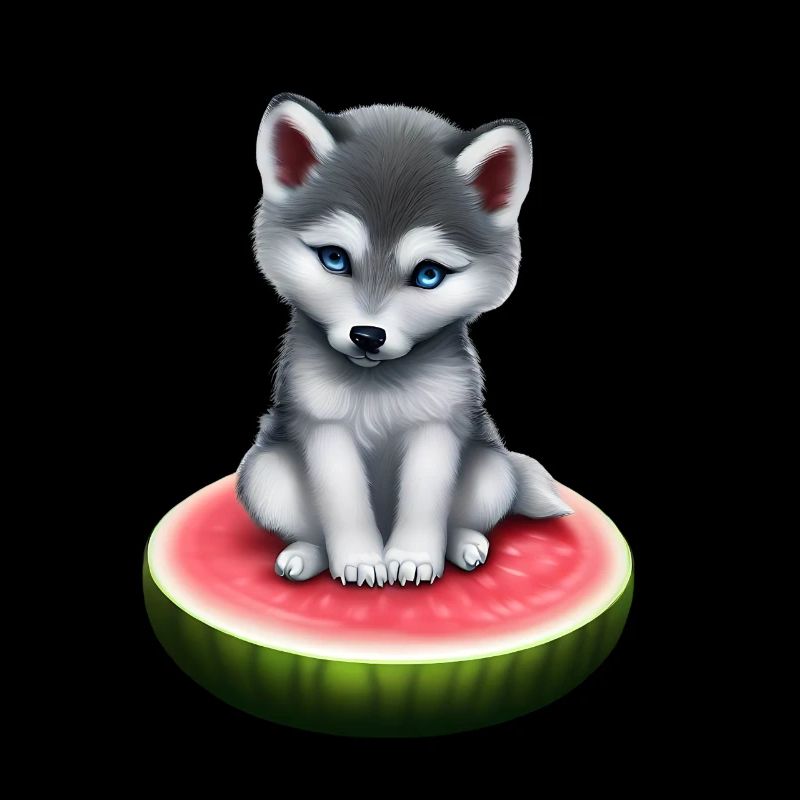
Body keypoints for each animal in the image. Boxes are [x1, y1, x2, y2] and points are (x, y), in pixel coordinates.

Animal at [237, 94, 573, 588]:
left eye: (429, 274)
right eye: (334, 258)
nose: (367, 336)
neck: (378, 385)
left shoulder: (436, 425)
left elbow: (425, 499)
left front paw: (412, 557)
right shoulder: (324, 426)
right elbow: (343, 502)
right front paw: (360, 559)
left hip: (493, 469)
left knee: (464, 516)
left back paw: (465, 545)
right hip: (265, 474)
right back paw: (306, 555)